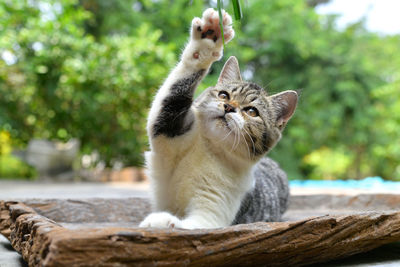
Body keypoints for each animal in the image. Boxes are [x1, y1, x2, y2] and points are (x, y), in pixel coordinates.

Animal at [139, 8, 296, 230]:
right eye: (223, 95)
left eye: (252, 111)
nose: (229, 107)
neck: (211, 149)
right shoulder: (169, 129)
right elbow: (174, 92)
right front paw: (210, 37)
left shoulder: (213, 214)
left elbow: (189, 224)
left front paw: (161, 220)